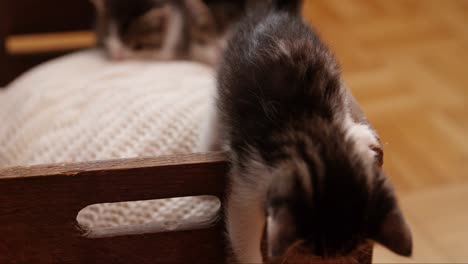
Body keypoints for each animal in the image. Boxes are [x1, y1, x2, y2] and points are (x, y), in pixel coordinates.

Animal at [201, 0, 414, 262]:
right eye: (313, 248)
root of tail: (275, 11)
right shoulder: (250, 177)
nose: (328, 258)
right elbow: (242, 227)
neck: (313, 133)